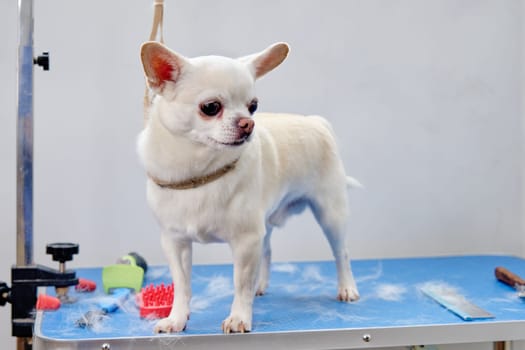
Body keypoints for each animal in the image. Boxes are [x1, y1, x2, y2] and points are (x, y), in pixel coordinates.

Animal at [137, 41, 358, 334]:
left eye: (253, 106)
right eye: (211, 107)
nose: (248, 123)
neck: (199, 171)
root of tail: (316, 122)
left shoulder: (245, 241)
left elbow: (240, 283)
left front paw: (239, 317)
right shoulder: (175, 242)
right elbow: (182, 286)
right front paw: (177, 319)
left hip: (330, 214)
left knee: (341, 252)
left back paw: (347, 288)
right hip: (266, 224)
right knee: (267, 251)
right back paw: (259, 286)